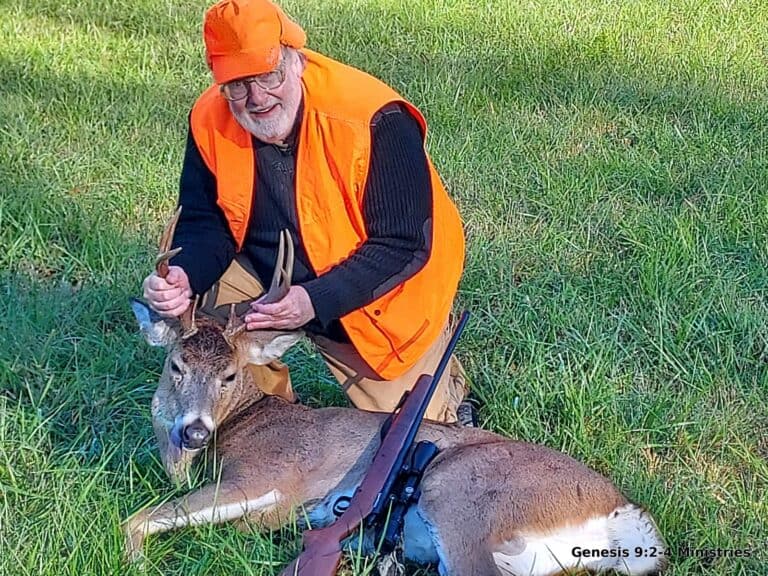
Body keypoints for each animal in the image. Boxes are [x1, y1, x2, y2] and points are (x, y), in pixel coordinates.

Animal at [123, 210, 668, 576]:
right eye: (176, 365)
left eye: (231, 375)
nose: (194, 431)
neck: (237, 426)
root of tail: (622, 513)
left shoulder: (266, 475)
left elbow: (143, 518)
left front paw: (136, 561)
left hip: (461, 496)